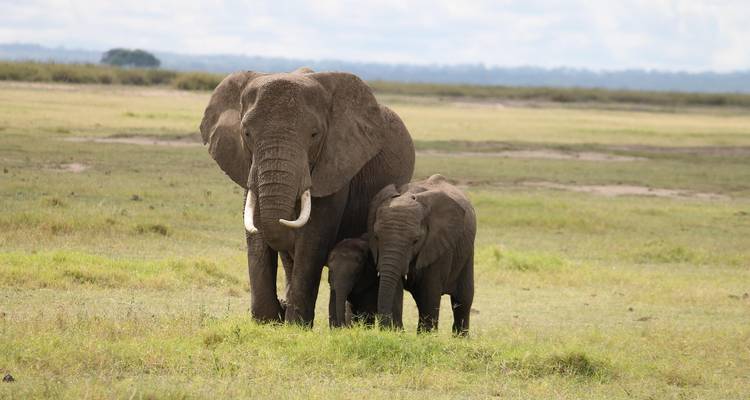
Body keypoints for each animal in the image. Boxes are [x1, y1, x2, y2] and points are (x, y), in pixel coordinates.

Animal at [200, 68, 415, 325]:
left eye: (314, 134)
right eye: (247, 133)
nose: (281, 306)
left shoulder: (335, 165)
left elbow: (313, 238)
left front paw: (294, 324)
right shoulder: (247, 165)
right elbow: (256, 234)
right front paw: (268, 322)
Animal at [368, 174, 476, 335]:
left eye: (415, 240)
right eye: (376, 236)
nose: (383, 329)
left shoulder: (438, 245)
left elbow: (429, 292)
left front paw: (426, 336)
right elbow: (395, 288)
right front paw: (396, 333)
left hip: (467, 251)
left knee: (463, 299)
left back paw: (461, 338)